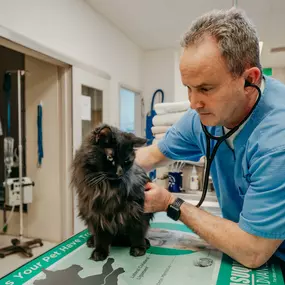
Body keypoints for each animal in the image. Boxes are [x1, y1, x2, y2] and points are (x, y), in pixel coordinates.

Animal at [69, 123, 152, 260]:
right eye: (110, 158)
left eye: (127, 161)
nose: (120, 172)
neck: (108, 188)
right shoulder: (97, 214)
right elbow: (101, 236)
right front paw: (100, 251)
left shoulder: (137, 209)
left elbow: (137, 232)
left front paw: (139, 248)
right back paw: (92, 241)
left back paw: (145, 243)